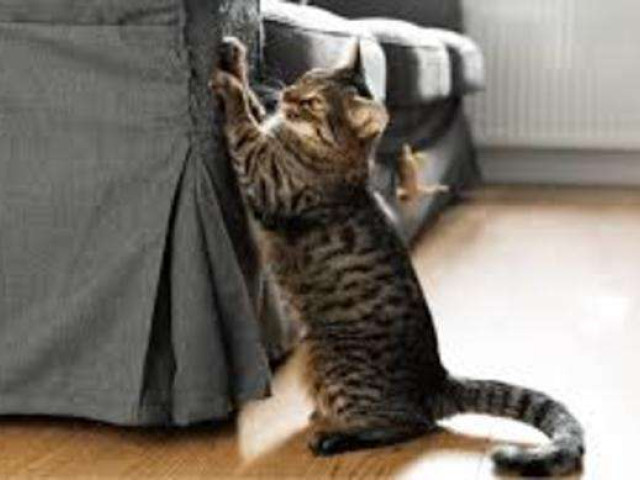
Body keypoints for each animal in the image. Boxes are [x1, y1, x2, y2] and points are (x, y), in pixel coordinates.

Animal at [210, 36, 584, 477]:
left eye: (314, 103)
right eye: (304, 77)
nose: (288, 95)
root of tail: (436, 378)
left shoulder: (267, 179)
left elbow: (244, 124)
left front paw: (229, 85)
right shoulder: (269, 139)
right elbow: (255, 108)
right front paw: (235, 57)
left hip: (333, 367)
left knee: (411, 425)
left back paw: (333, 436)